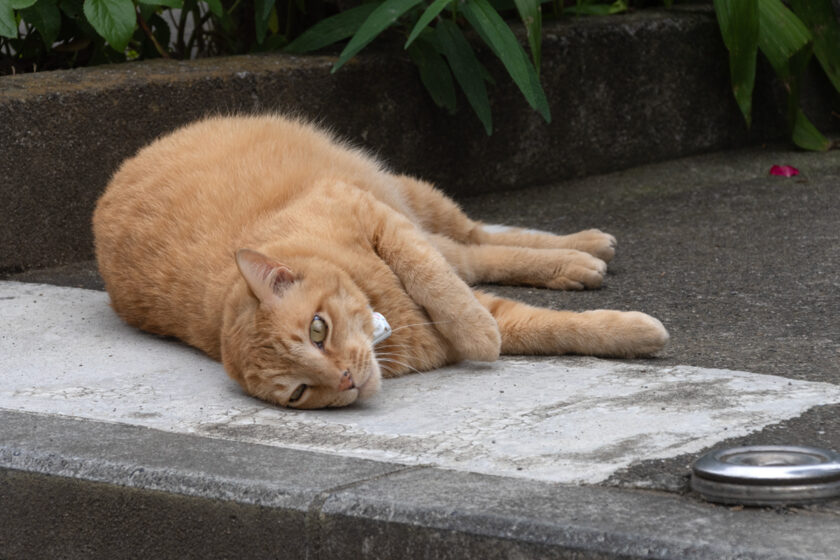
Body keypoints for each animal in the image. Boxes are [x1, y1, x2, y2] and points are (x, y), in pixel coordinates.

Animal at [93, 116, 668, 410]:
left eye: (317, 330)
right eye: (300, 392)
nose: (346, 380)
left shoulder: (372, 214)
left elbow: (439, 283)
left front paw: (479, 334)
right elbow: (550, 327)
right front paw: (631, 333)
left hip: (410, 194)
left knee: (474, 239)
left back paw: (586, 246)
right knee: (473, 255)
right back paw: (578, 262)